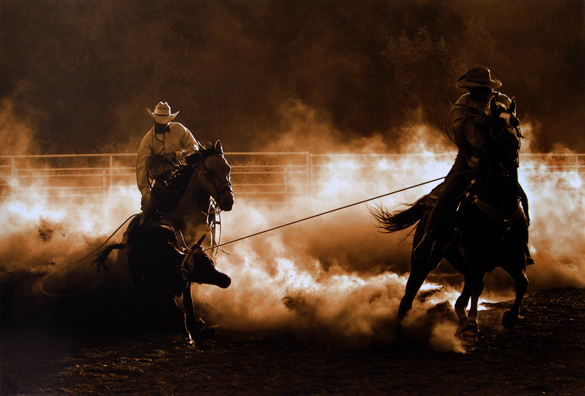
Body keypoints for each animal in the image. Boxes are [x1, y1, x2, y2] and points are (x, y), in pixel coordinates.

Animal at [370, 98, 528, 338]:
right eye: (494, 125)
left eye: (516, 121)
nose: (511, 145)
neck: (499, 205)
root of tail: (429, 200)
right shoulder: (474, 255)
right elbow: (477, 287)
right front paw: (472, 325)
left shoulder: (513, 257)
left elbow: (522, 283)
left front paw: (510, 318)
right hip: (424, 261)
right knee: (408, 298)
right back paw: (399, 334)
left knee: (461, 297)